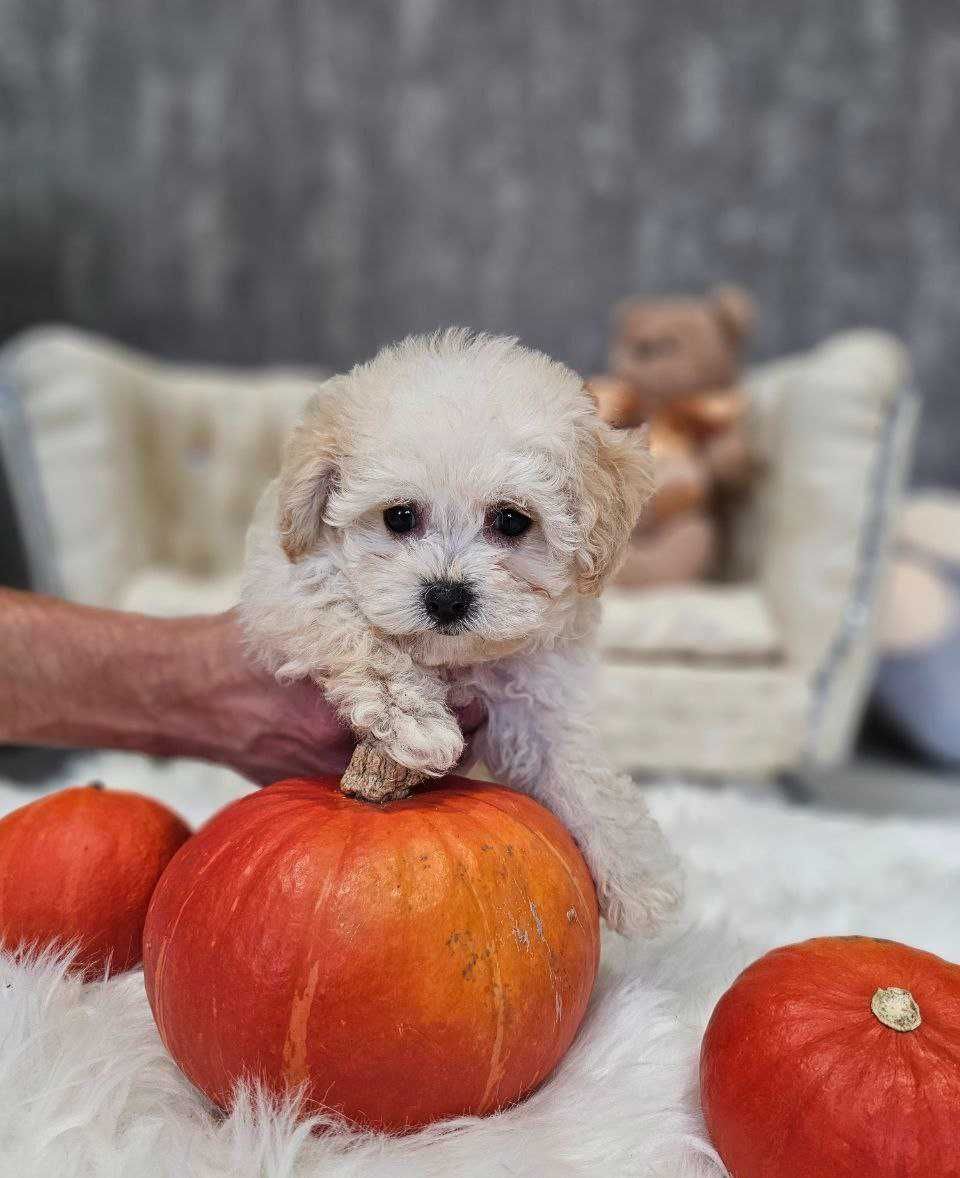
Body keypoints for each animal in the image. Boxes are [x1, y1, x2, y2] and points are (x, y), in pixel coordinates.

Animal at [243, 327, 687, 932]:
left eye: (512, 521)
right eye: (399, 517)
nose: (446, 596)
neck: (452, 658)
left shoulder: (536, 696)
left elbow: (579, 767)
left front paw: (638, 879)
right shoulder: (287, 588)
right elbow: (357, 631)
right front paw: (416, 723)